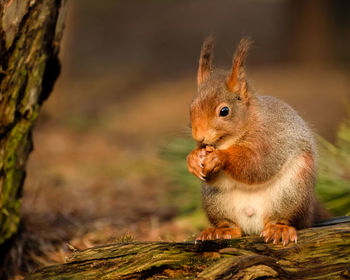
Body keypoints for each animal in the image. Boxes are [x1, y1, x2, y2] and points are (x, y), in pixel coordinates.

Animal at [186, 36, 330, 245]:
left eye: (224, 111)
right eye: (191, 107)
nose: (199, 136)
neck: (228, 140)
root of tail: (253, 225)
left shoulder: (270, 137)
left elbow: (256, 163)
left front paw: (220, 157)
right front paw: (193, 159)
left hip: (292, 191)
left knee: (282, 217)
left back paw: (279, 229)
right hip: (215, 200)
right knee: (232, 225)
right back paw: (220, 231)